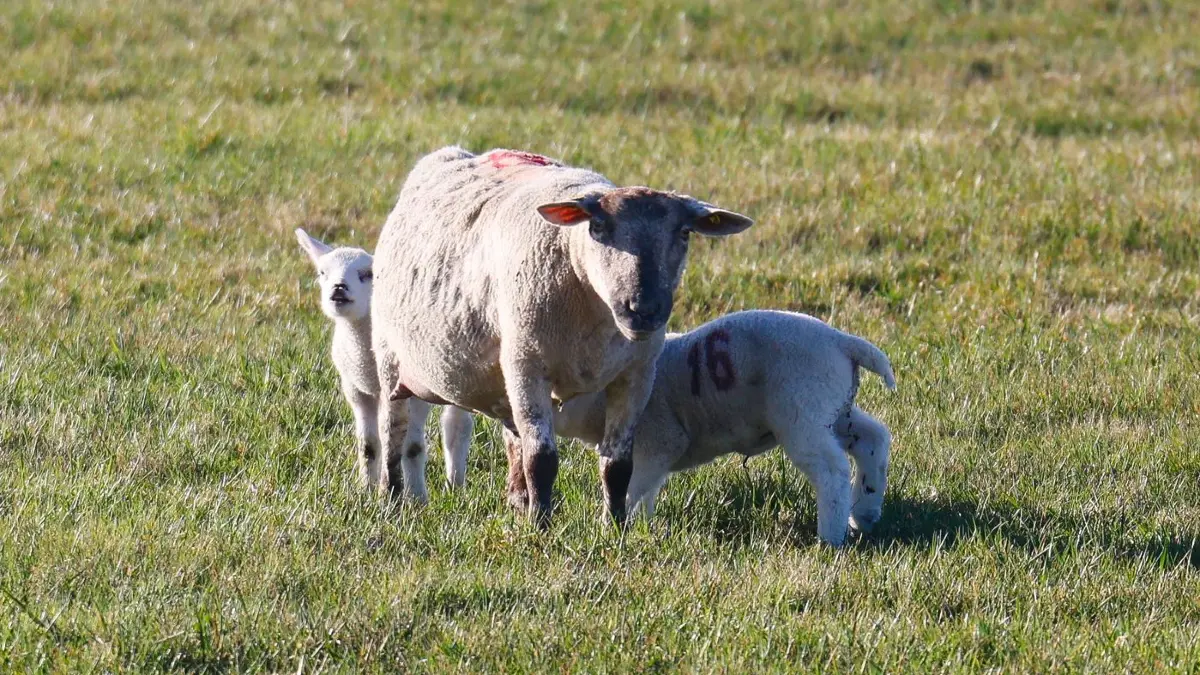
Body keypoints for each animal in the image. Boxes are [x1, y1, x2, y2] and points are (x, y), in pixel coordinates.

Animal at [294, 229, 474, 497]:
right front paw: (366, 490)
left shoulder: (415, 394)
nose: (339, 288)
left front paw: (417, 497)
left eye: (367, 274)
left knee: (457, 425)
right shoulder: (357, 390)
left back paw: (455, 486)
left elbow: (412, 448)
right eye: (322, 273)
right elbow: (369, 445)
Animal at [371, 147, 753, 525]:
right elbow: (542, 460)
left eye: (685, 233)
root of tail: (450, 153)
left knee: (514, 439)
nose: (643, 309)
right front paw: (541, 526)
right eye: (597, 227)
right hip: (390, 353)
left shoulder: (636, 375)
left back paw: (519, 502)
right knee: (393, 432)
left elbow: (617, 465)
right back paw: (391, 501)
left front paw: (615, 526)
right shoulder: (527, 365)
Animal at [552, 310, 895, 546]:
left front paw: (616, 528)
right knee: (873, 440)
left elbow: (633, 487)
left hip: (803, 412)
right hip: (834, 409)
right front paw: (642, 526)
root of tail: (842, 342)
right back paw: (864, 512)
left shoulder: (661, 439)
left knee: (831, 470)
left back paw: (831, 536)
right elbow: (646, 490)